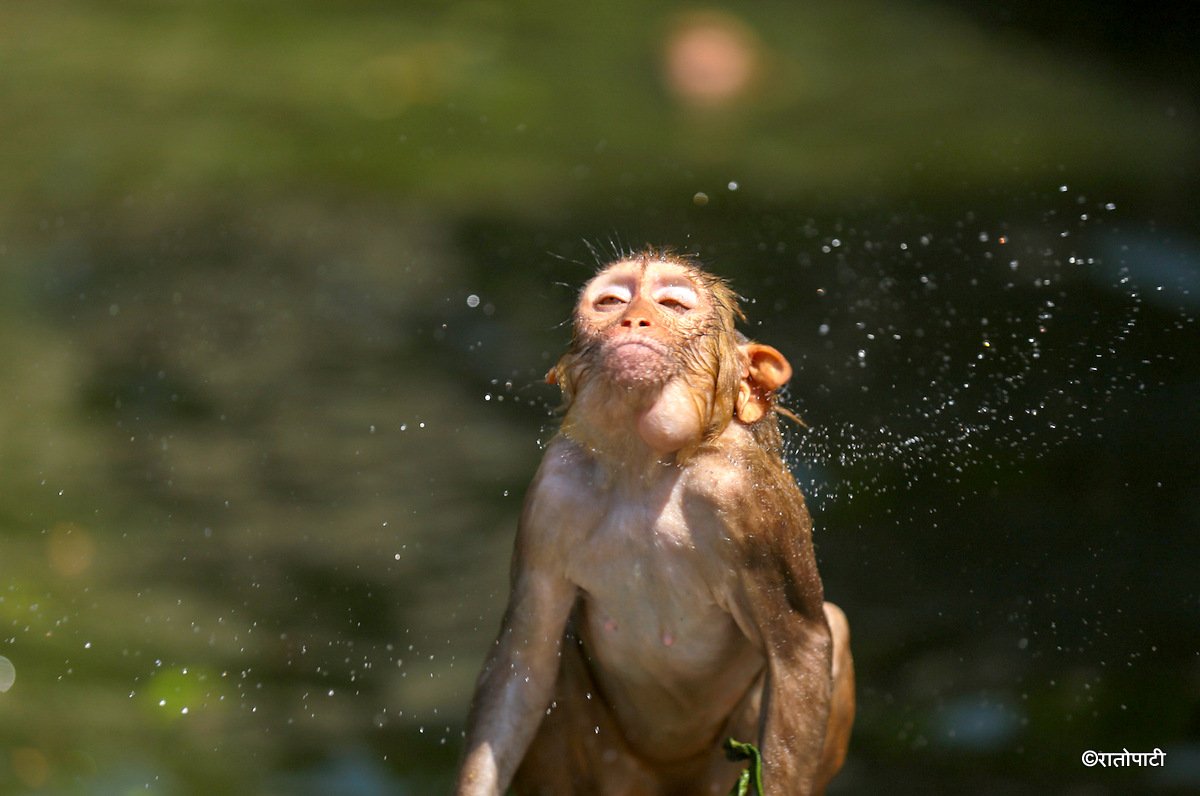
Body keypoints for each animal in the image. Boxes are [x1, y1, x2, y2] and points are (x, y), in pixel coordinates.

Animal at [455, 250, 854, 796]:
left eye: (672, 304)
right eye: (610, 301)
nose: (633, 319)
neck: (644, 467)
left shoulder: (747, 495)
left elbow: (800, 649)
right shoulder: (551, 493)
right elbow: (525, 657)